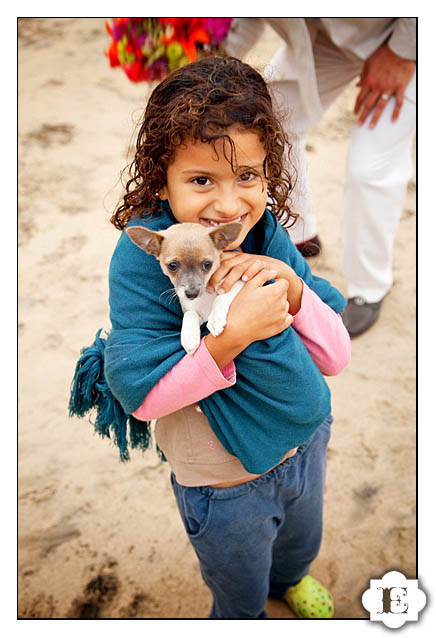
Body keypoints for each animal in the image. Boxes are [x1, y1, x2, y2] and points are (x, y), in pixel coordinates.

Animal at [126, 222, 244, 356]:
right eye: (172, 266)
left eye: (207, 264)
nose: (192, 294)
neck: (204, 298)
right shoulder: (193, 312)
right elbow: (189, 314)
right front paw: (189, 337)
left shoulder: (239, 283)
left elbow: (220, 297)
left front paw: (215, 319)